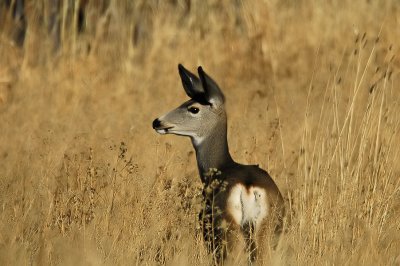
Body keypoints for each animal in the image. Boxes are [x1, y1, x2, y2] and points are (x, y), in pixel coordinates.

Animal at [151, 64, 284, 264]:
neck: (220, 166)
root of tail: (248, 187)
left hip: (224, 230)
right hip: (268, 228)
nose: (157, 121)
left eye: (193, 108)